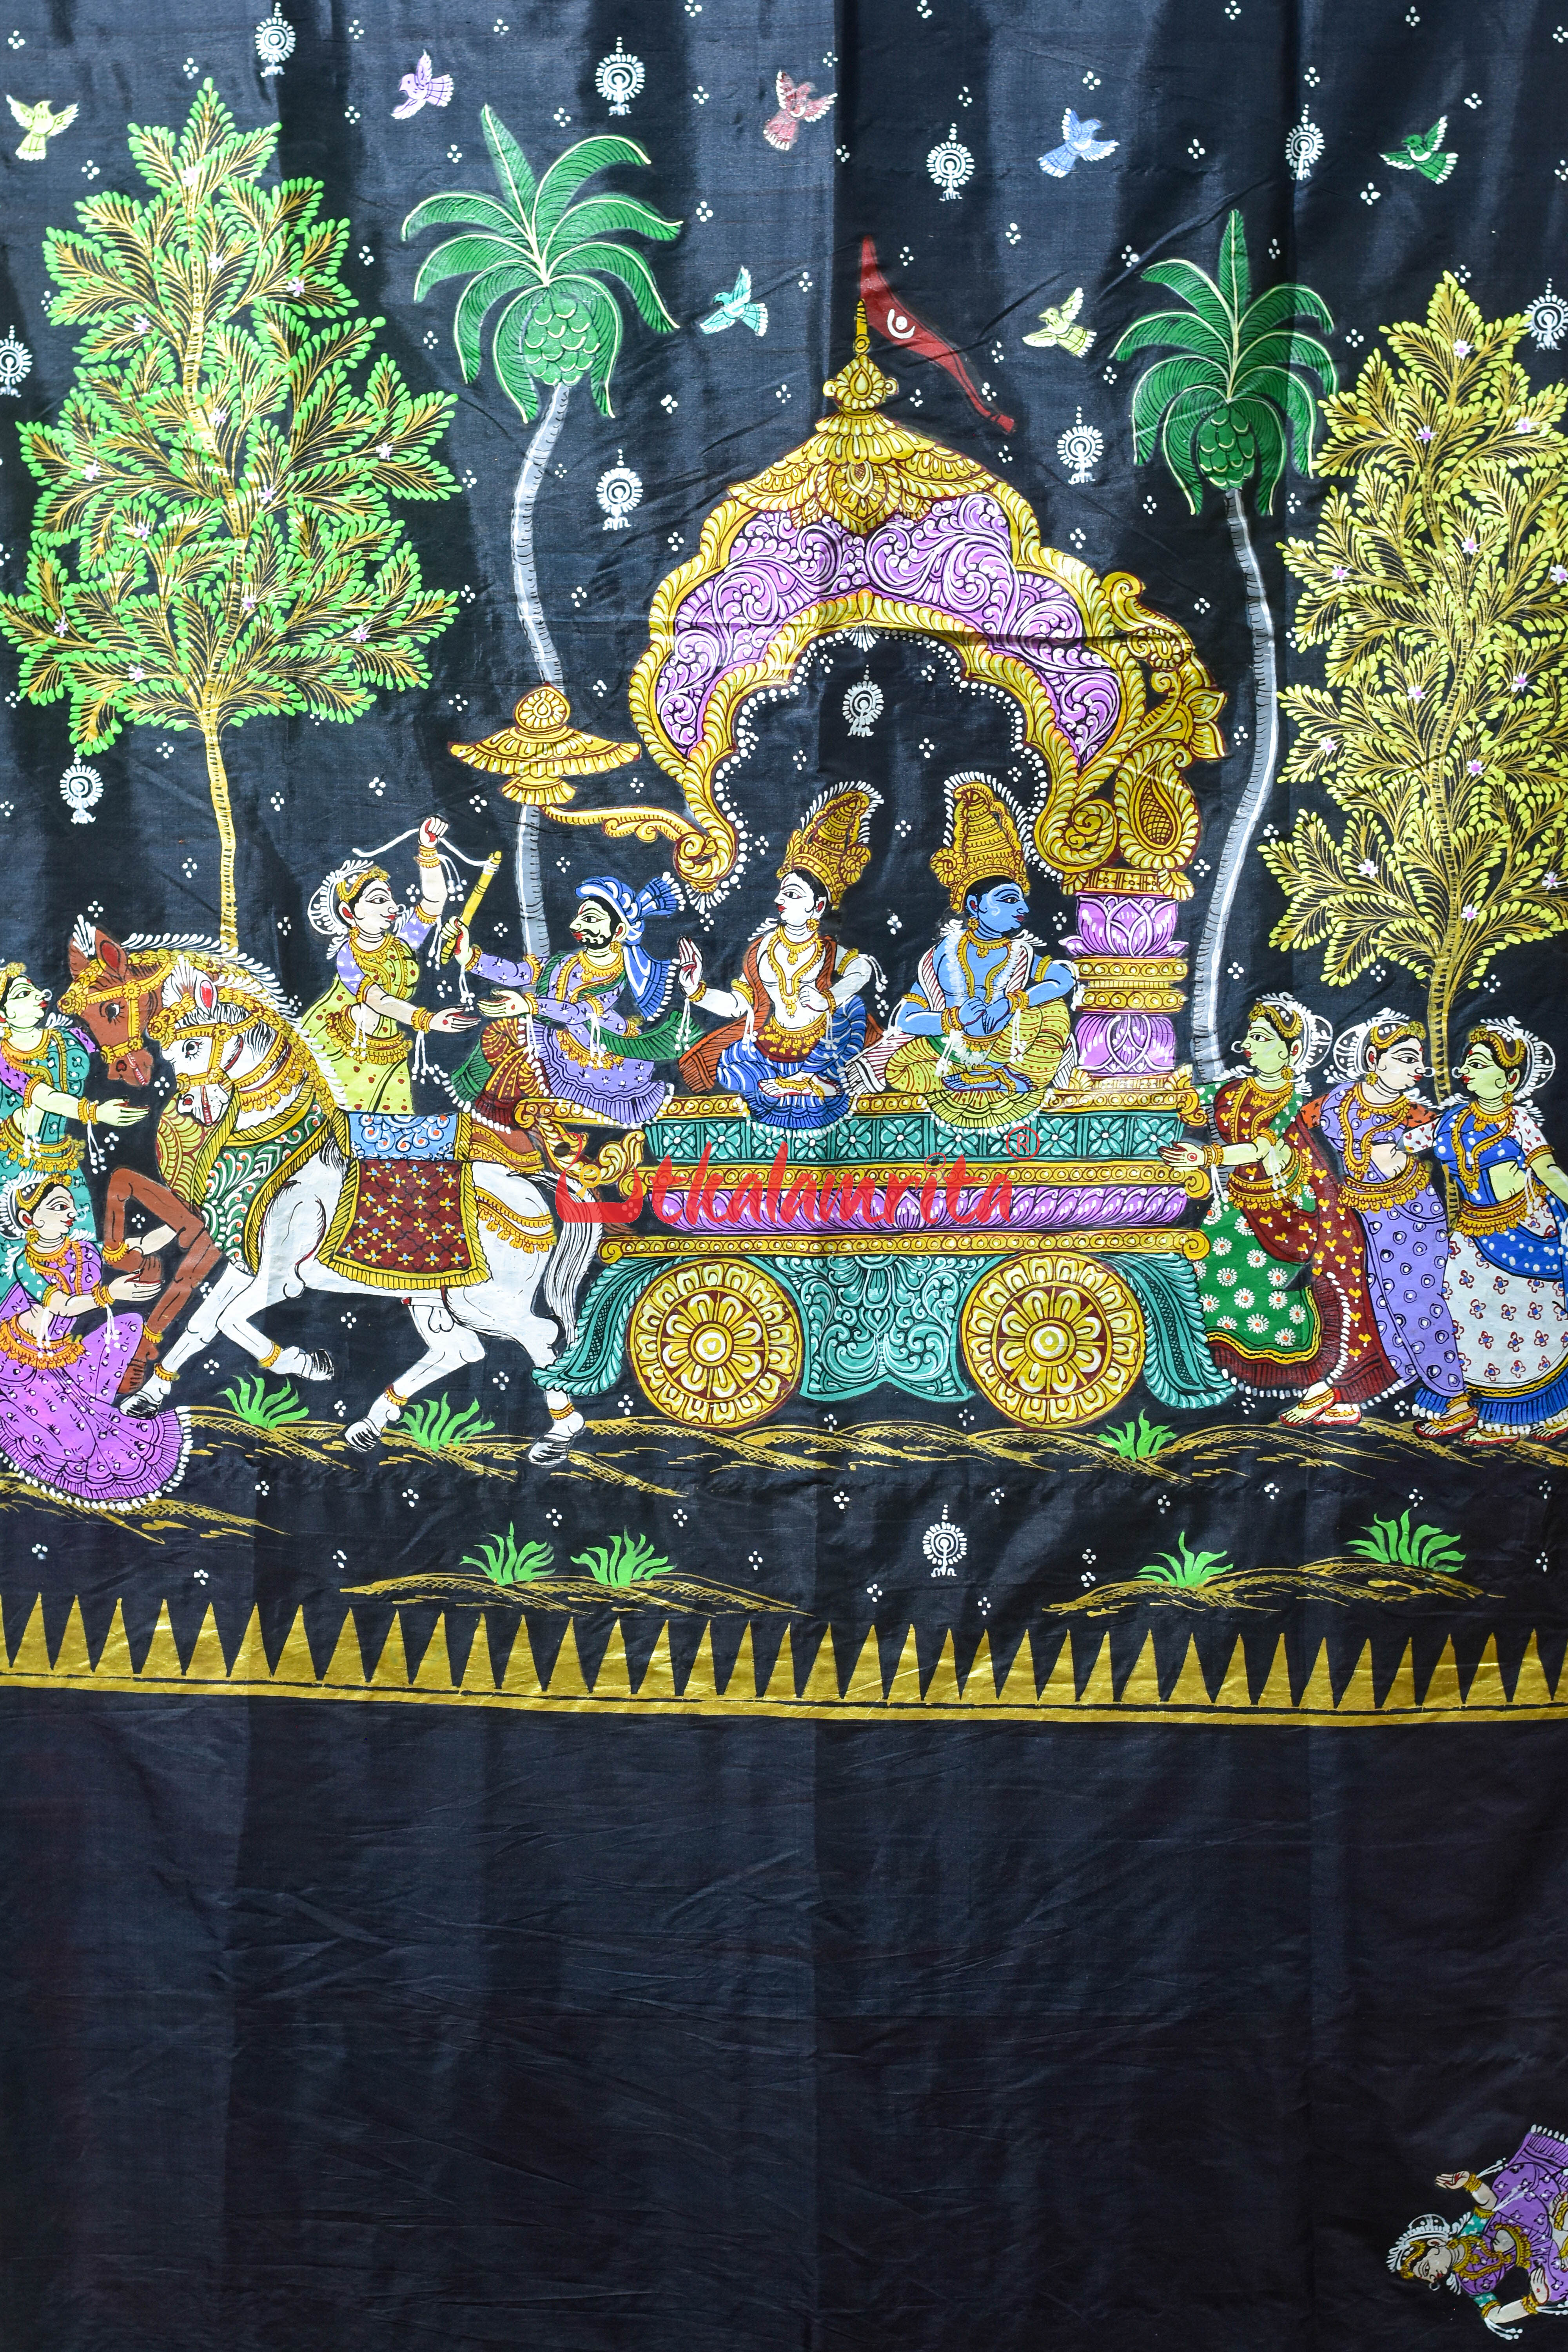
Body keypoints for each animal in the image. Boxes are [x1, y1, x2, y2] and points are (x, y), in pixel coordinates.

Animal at [97, 942, 596, 1464]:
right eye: (171, 1052)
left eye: (194, 1047)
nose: (190, 1106)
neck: (282, 1145)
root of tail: (526, 1182)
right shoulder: (244, 1266)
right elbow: (202, 1324)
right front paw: (147, 1398)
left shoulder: (281, 1277)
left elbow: (231, 1319)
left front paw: (304, 1362)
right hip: (431, 1296)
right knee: (461, 1350)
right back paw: (369, 1425)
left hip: (487, 1298)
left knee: (538, 1336)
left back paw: (558, 1436)